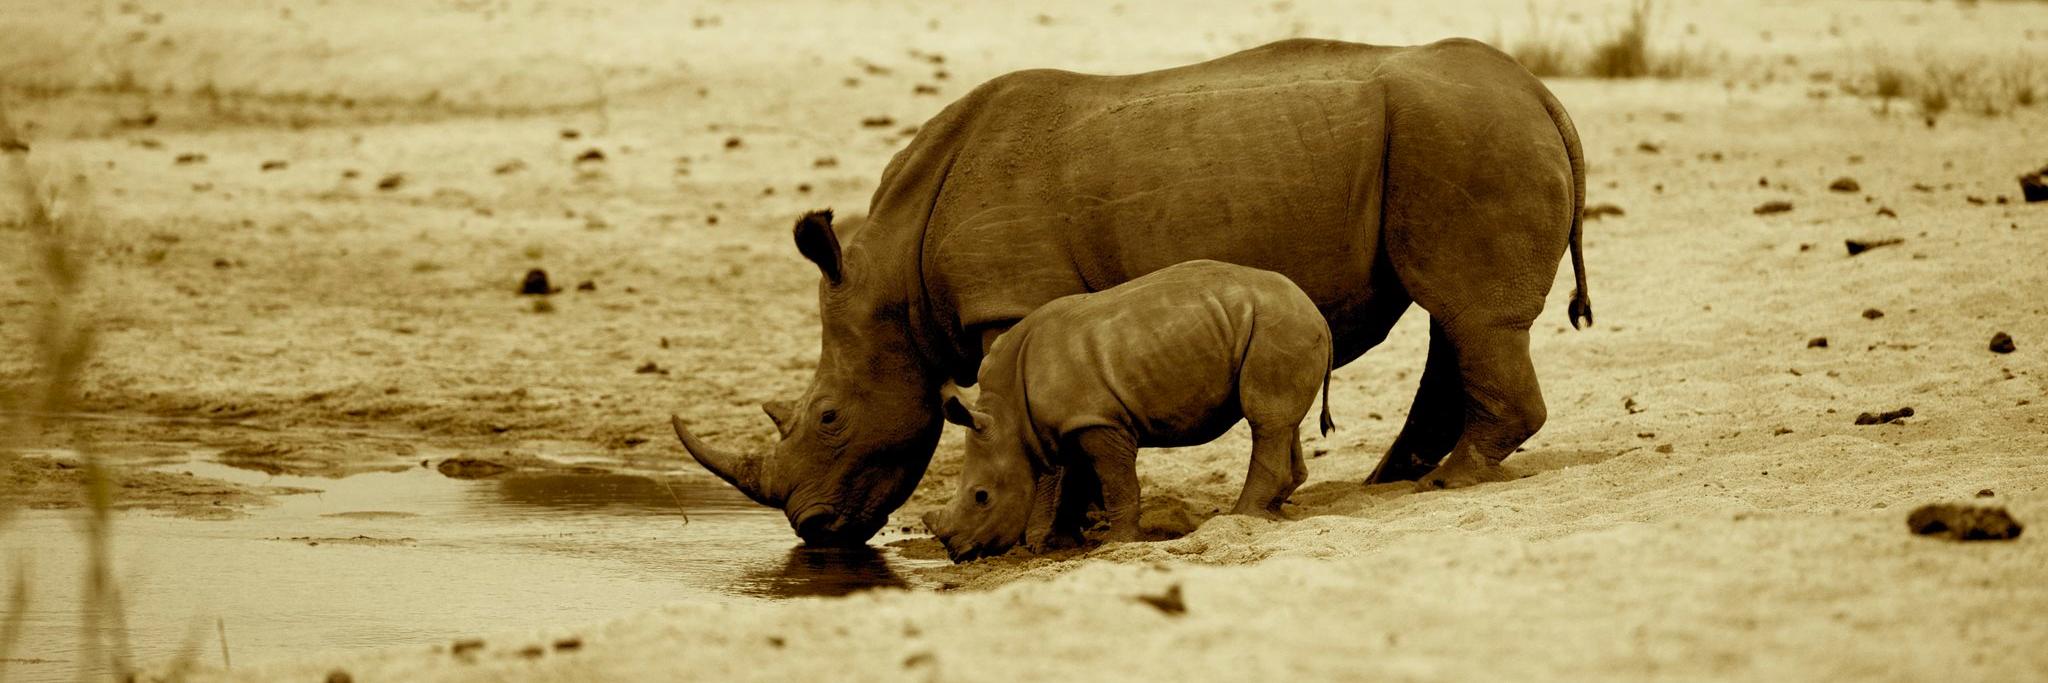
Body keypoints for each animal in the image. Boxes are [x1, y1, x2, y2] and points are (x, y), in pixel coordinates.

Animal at [920, 260, 1334, 562]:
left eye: (981, 496)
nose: (956, 553)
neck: (1009, 418)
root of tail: (1317, 314)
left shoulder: (1098, 421)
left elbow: (1116, 481)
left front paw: (1118, 543)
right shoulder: (1071, 423)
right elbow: (1072, 481)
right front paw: (1057, 545)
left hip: (1278, 326)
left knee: (1265, 419)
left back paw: (1242, 516)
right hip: (1276, 326)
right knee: (1283, 422)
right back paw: (1273, 513)